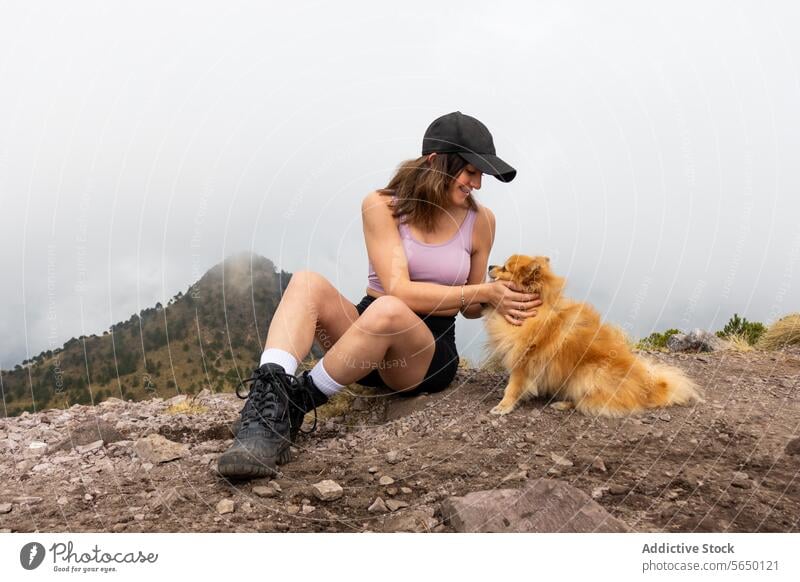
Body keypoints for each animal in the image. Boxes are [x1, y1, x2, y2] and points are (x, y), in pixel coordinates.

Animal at [482, 258, 700, 418]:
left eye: (505, 268)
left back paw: (563, 404)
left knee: (587, 401)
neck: (535, 312)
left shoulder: (523, 361)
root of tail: (647, 389)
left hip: (586, 374)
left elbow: (512, 388)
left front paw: (503, 406)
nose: (490, 265)